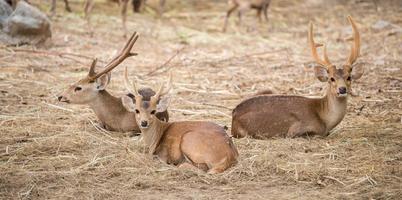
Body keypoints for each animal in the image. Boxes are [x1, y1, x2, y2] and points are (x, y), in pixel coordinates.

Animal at [229, 16, 364, 139]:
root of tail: (234, 113)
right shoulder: (296, 129)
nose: (342, 89)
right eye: (331, 78)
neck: (324, 120)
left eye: (349, 77)